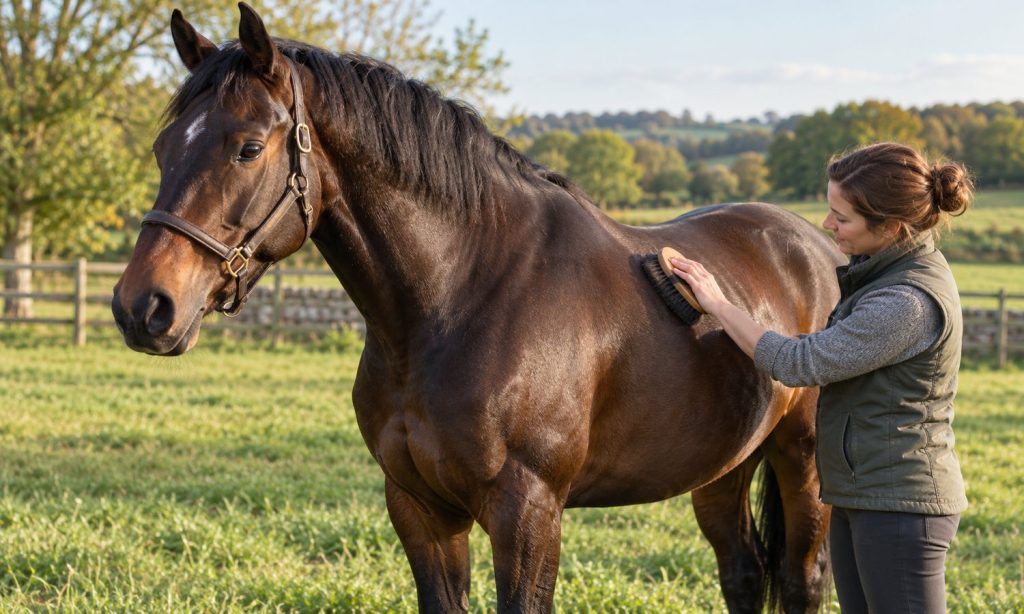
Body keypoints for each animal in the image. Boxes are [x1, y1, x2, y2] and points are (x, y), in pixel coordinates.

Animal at [112, 5, 844, 612]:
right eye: (163, 147)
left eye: (248, 147)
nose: (143, 307)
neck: (462, 299)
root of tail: (816, 247)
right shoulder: (419, 508)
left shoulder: (527, 513)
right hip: (723, 467)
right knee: (742, 574)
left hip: (803, 461)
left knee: (802, 581)